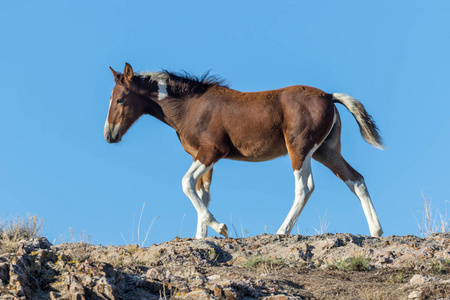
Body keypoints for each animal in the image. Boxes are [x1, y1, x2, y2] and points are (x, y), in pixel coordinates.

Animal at [104, 63, 384, 239]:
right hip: (325, 151)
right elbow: (202, 192)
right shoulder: (201, 156)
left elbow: (186, 183)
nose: (109, 135)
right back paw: (376, 232)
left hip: (300, 149)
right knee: (356, 179)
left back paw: (281, 231)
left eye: (119, 99)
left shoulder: (212, 151)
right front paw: (201, 237)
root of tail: (329, 95)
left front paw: (221, 227)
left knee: (305, 187)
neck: (191, 107)